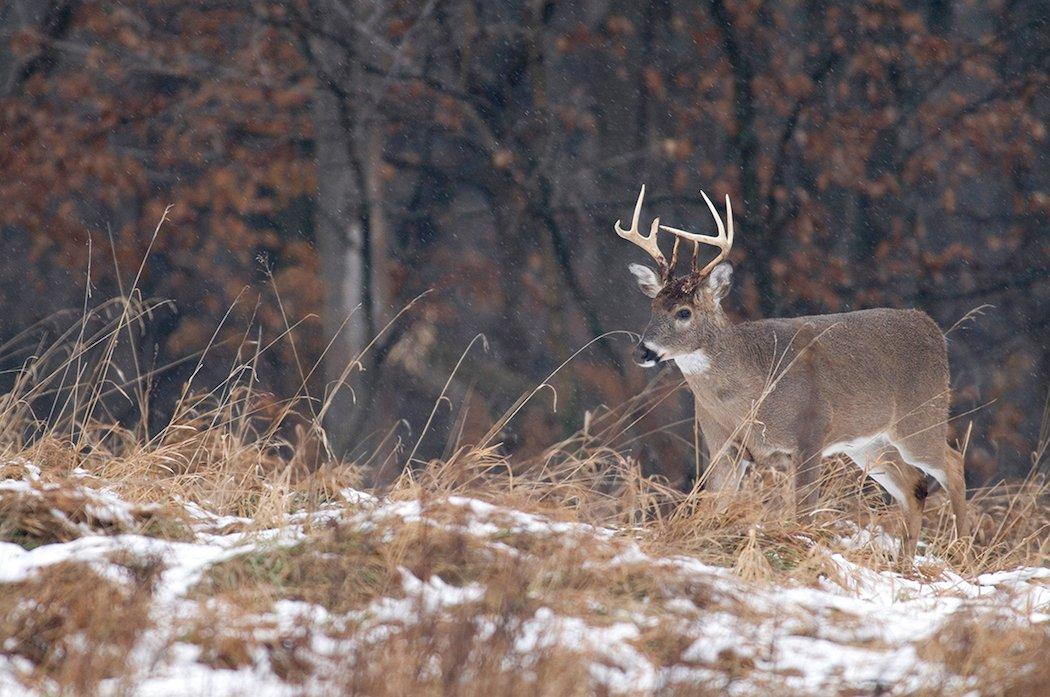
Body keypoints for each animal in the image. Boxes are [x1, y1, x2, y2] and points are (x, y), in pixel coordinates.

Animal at [613, 184, 965, 554]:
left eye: (684, 312)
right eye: (653, 307)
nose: (643, 351)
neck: (750, 393)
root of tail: (931, 327)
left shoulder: (810, 433)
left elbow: (804, 513)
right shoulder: (721, 444)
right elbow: (715, 504)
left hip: (921, 420)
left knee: (953, 465)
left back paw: (963, 546)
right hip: (868, 442)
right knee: (914, 485)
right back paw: (906, 559)